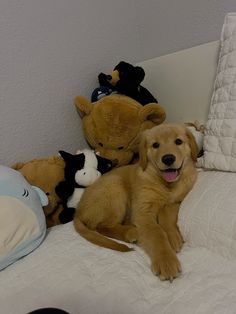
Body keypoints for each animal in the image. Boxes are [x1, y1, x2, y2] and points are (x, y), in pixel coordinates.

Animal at [73, 124, 197, 280]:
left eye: (178, 141)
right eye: (155, 145)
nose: (168, 158)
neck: (166, 185)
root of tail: (78, 211)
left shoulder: (178, 199)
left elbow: (167, 212)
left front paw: (172, 237)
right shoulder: (143, 212)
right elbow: (156, 233)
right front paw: (166, 261)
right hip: (115, 186)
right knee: (101, 226)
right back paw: (131, 232)